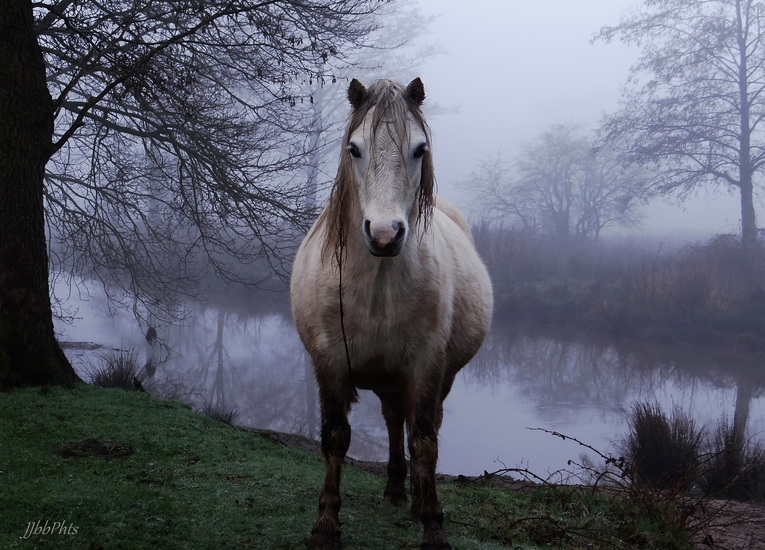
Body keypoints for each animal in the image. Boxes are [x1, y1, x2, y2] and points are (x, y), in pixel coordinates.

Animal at [290, 77, 493, 550]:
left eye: (419, 149)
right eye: (354, 149)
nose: (384, 235)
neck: (378, 282)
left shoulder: (426, 366)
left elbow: (425, 441)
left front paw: (433, 526)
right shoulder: (330, 363)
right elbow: (335, 437)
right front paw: (326, 525)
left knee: (416, 424)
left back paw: (415, 498)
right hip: (386, 379)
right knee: (391, 418)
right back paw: (397, 489)